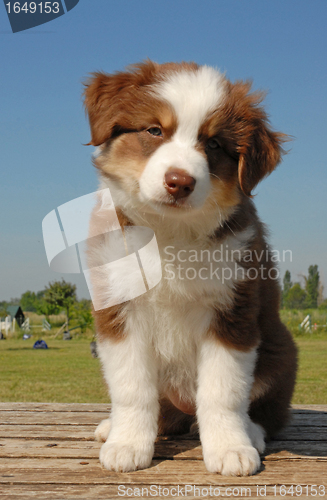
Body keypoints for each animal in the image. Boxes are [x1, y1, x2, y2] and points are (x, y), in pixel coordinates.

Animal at [83, 61, 298, 476]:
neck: (169, 233)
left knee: (265, 411)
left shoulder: (232, 310)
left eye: (213, 144)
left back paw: (252, 433)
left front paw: (231, 448)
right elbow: (131, 387)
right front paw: (127, 444)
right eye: (154, 130)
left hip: (280, 351)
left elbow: (223, 390)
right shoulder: (119, 306)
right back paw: (112, 426)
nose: (179, 182)